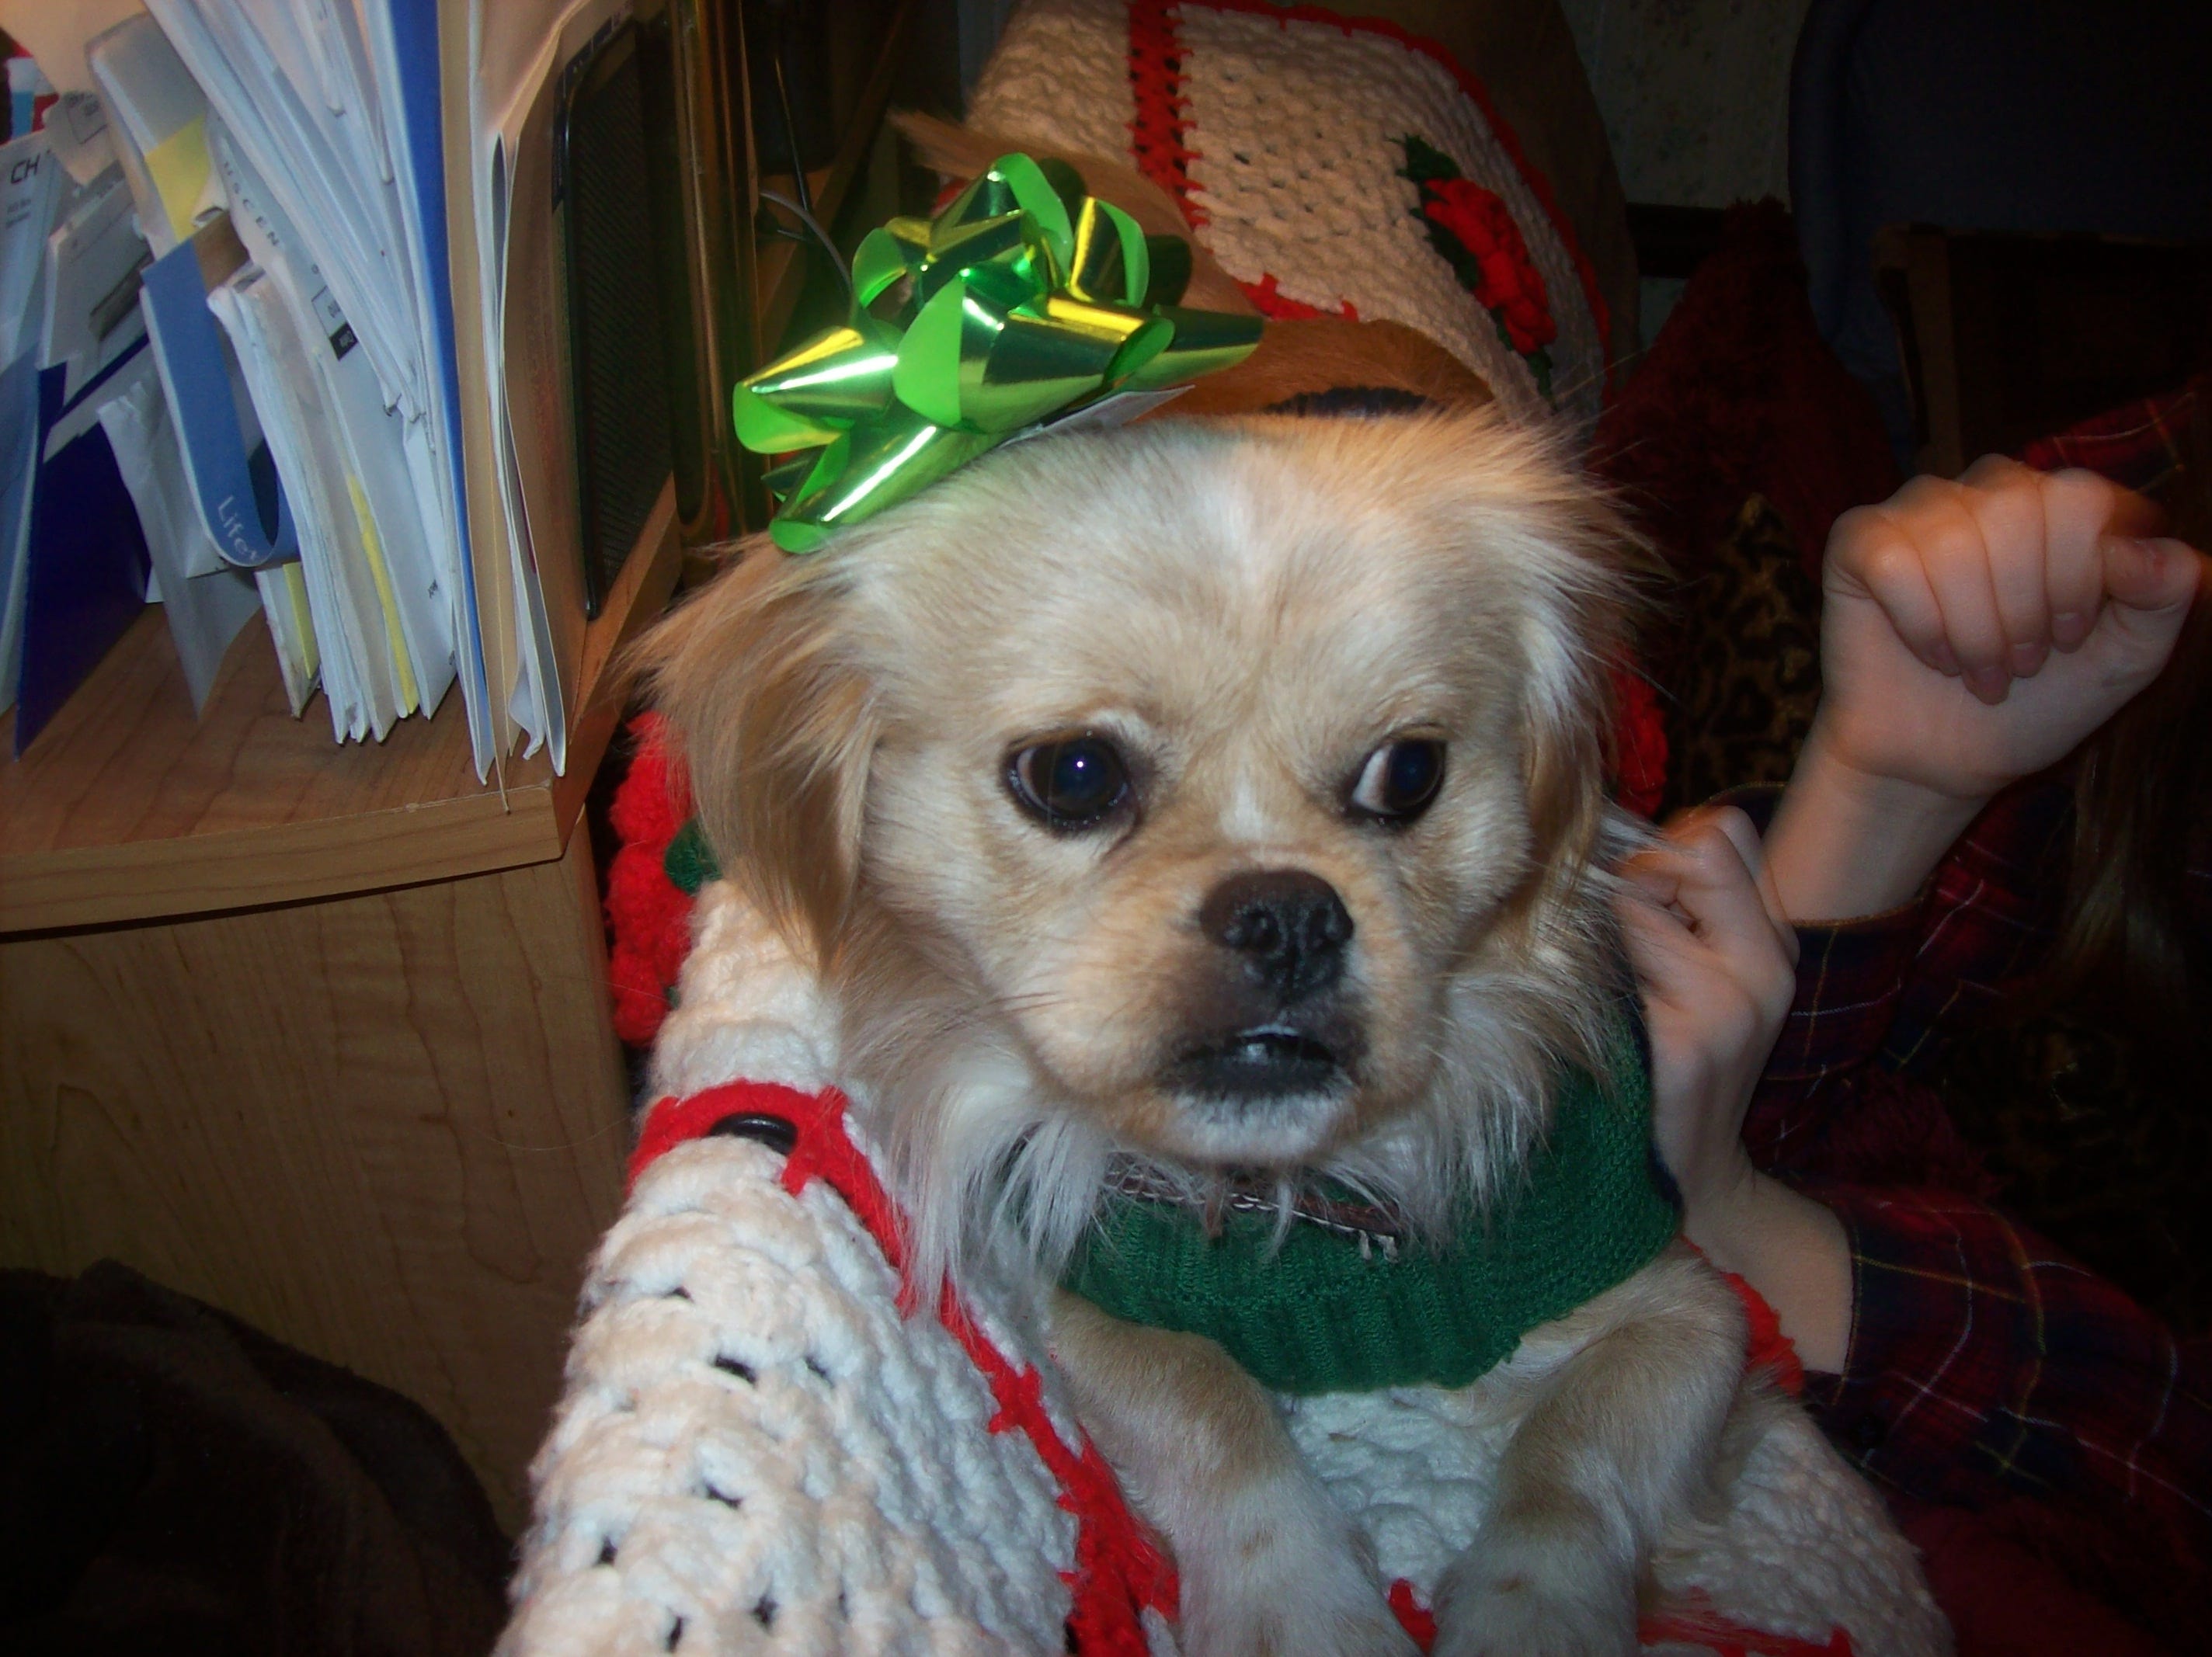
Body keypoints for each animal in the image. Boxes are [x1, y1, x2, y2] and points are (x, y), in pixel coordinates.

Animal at [639, 400, 1947, 1656]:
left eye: (1409, 773)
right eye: (1073, 773)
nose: (1287, 912)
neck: (1306, 1204)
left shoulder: (1685, 1309)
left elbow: (1566, 1475)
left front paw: (1528, 1621)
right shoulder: (1097, 1292)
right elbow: (1214, 1419)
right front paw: (1303, 1610)